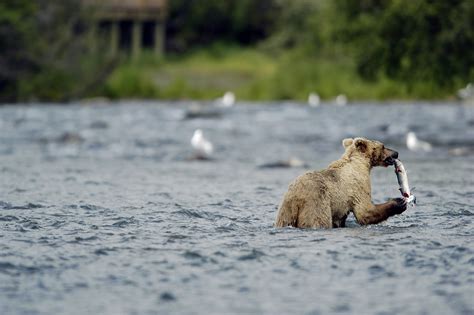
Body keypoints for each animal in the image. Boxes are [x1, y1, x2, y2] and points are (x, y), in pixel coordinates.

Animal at [274, 137, 408, 228]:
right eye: (383, 146)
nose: (396, 153)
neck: (361, 164)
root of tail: (296, 197)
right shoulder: (357, 184)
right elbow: (365, 211)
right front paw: (398, 202)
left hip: (285, 210)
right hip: (316, 202)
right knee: (319, 219)